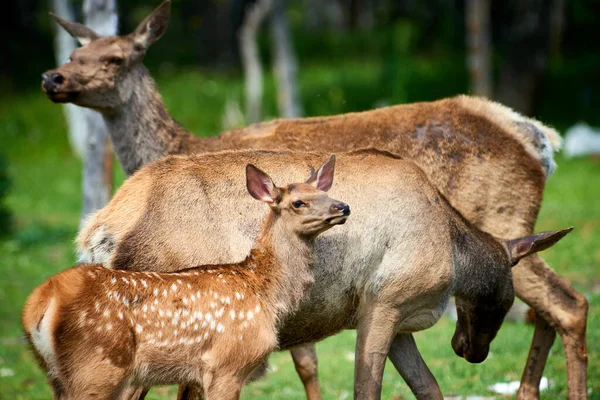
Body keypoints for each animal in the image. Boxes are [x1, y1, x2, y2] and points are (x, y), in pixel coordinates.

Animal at [24, 159, 352, 400]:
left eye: (325, 193)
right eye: (298, 202)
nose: (343, 206)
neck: (264, 292)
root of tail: (41, 303)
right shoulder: (229, 363)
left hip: (57, 374)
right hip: (96, 367)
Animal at [79, 150, 572, 400]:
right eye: (506, 299)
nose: (473, 351)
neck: (453, 253)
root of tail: (101, 232)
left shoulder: (397, 320)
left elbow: (428, 387)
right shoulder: (385, 301)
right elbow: (367, 389)